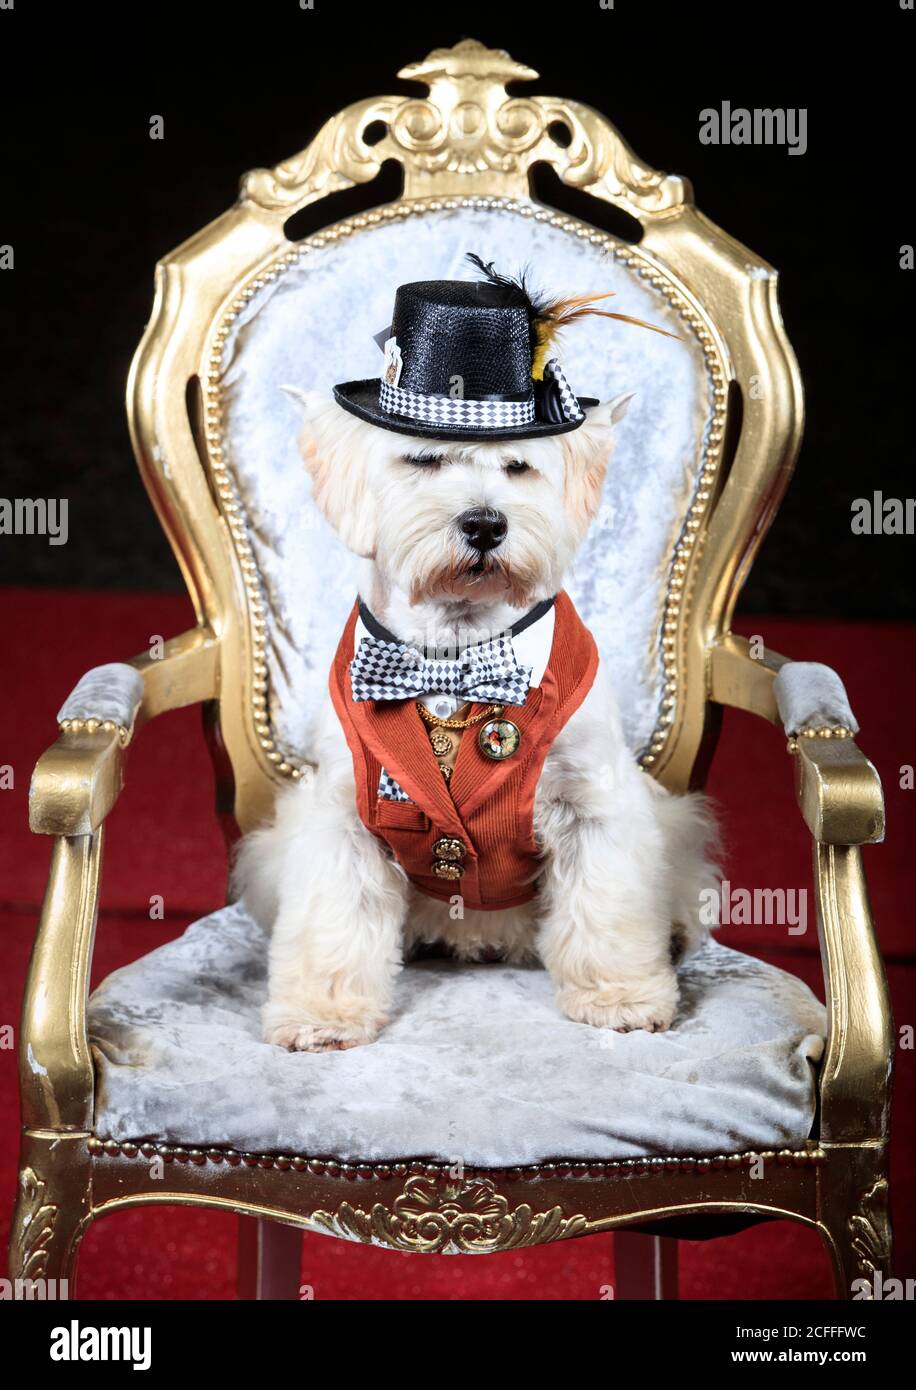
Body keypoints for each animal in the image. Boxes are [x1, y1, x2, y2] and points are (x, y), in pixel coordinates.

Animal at [233, 386, 722, 1045]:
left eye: (519, 467)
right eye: (423, 459)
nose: (486, 523)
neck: (454, 657)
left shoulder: (596, 804)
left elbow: (608, 908)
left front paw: (621, 998)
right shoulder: (341, 816)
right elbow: (333, 922)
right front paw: (321, 1015)